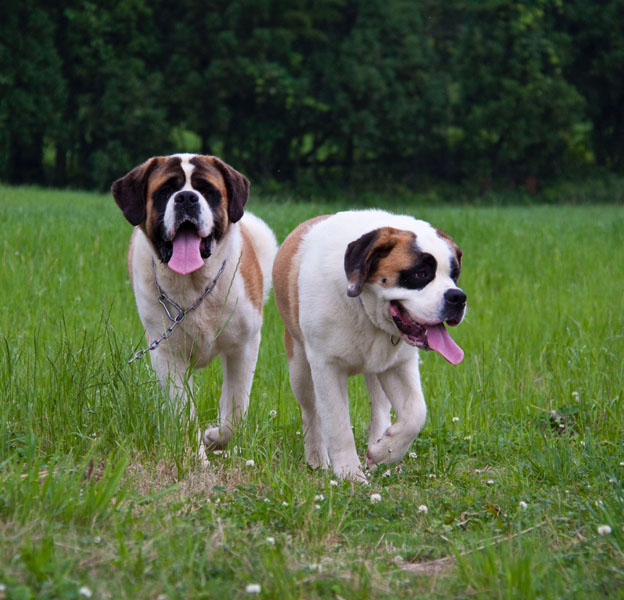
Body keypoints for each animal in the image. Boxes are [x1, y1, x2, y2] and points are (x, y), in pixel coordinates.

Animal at [112, 152, 278, 452]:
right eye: (166, 190)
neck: (195, 286)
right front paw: (193, 451)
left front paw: (214, 436)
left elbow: (235, 410)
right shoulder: (166, 354)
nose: (187, 198)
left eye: (207, 190)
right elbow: (181, 409)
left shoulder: (244, 346)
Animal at [270, 211, 466, 482]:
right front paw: (349, 475)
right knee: (310, 410)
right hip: (299, 367)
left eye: (454, 275)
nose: (458, 297)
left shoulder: (401, 365)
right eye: (421, 274)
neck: (365, 308)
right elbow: (338, 424)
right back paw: (317, 459)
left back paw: (379, 446)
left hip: (378, 370)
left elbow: (416, 411)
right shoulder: (326, 367)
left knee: (380, 407)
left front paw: (385, 451)